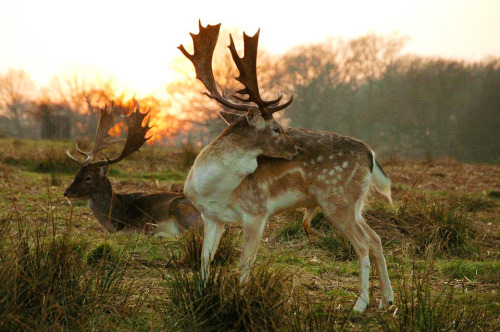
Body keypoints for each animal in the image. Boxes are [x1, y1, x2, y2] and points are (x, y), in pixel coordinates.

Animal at [63, 102, 200, 237]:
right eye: (76, 173)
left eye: (88, 178)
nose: (66, 192)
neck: (114, 216)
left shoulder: (135, 223)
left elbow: (121, 232)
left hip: (181, 209)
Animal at [180, 22, 394, 312]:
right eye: (276, 128)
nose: (296, 149)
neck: (213, 189)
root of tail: (370, 153)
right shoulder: (211, 216)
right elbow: (205, 260)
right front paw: (200, 297)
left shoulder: (256, 211)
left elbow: (245, 262)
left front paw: (241, 301)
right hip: (355, 204)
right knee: (375, 238)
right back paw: (386, 299)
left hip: (337, 201)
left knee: (361, 244)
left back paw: (360, 305)